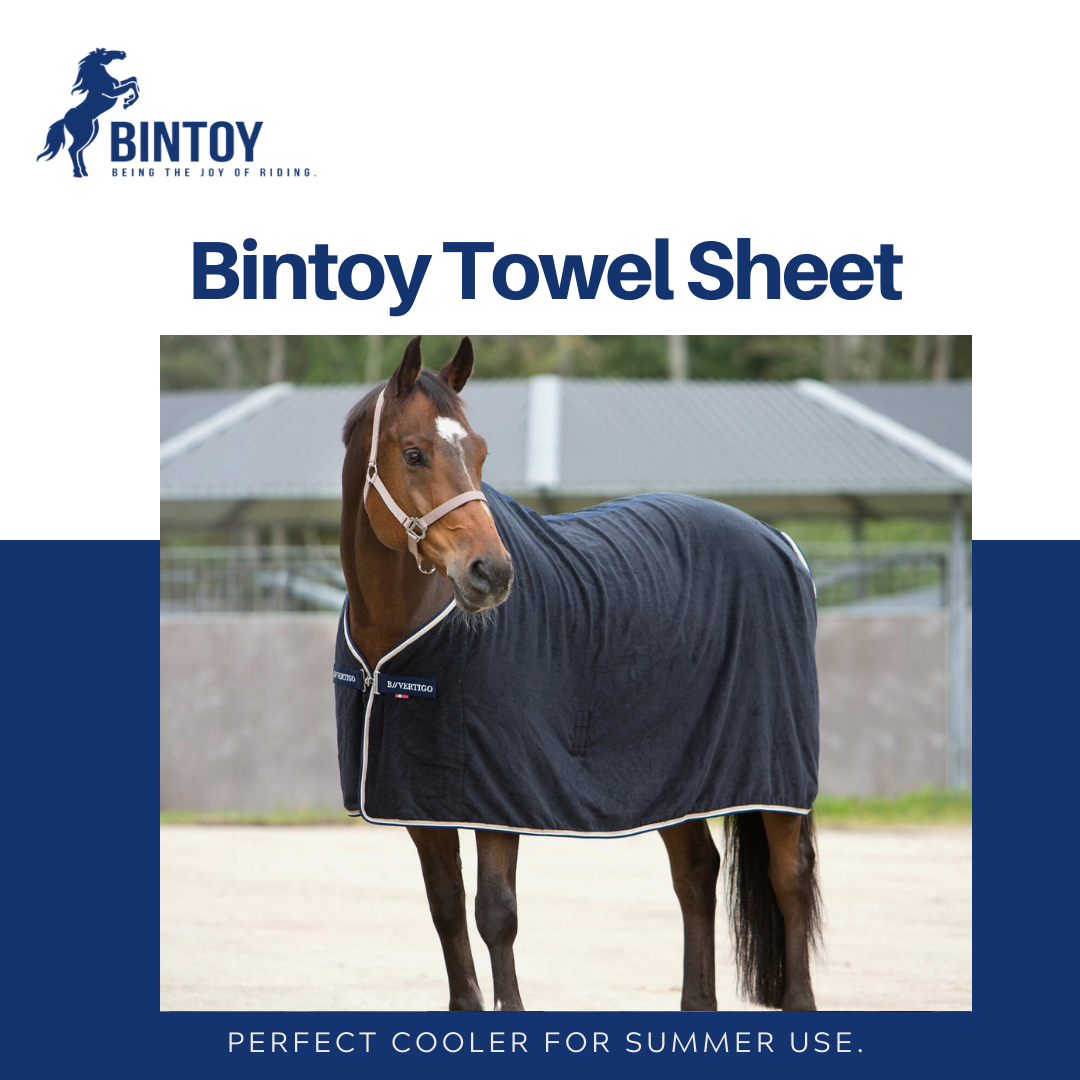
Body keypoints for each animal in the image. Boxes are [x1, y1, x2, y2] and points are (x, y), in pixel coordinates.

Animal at [37, 48, 139, 178]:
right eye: (105, 53)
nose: (122, 53)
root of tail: (64, 120)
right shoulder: (111, 93)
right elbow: (132, 84)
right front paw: (128, 102)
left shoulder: (117, 85)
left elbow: (133, 79)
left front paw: (129, 99)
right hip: (85, 133)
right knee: (73, 150)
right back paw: (77, 173)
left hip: (91, 133)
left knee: (79, 150)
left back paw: (84, 172)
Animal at [336, 337, 822, 1011]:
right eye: (413, 453)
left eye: (479, 452)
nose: (491, 573)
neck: (399, 638)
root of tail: (779, 541)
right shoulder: (420, 801)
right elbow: (447, 909)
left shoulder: (499, 796)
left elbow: (496, 914)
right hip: (681, 779)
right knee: (696, 873)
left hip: (774, 772)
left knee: (789, 877)